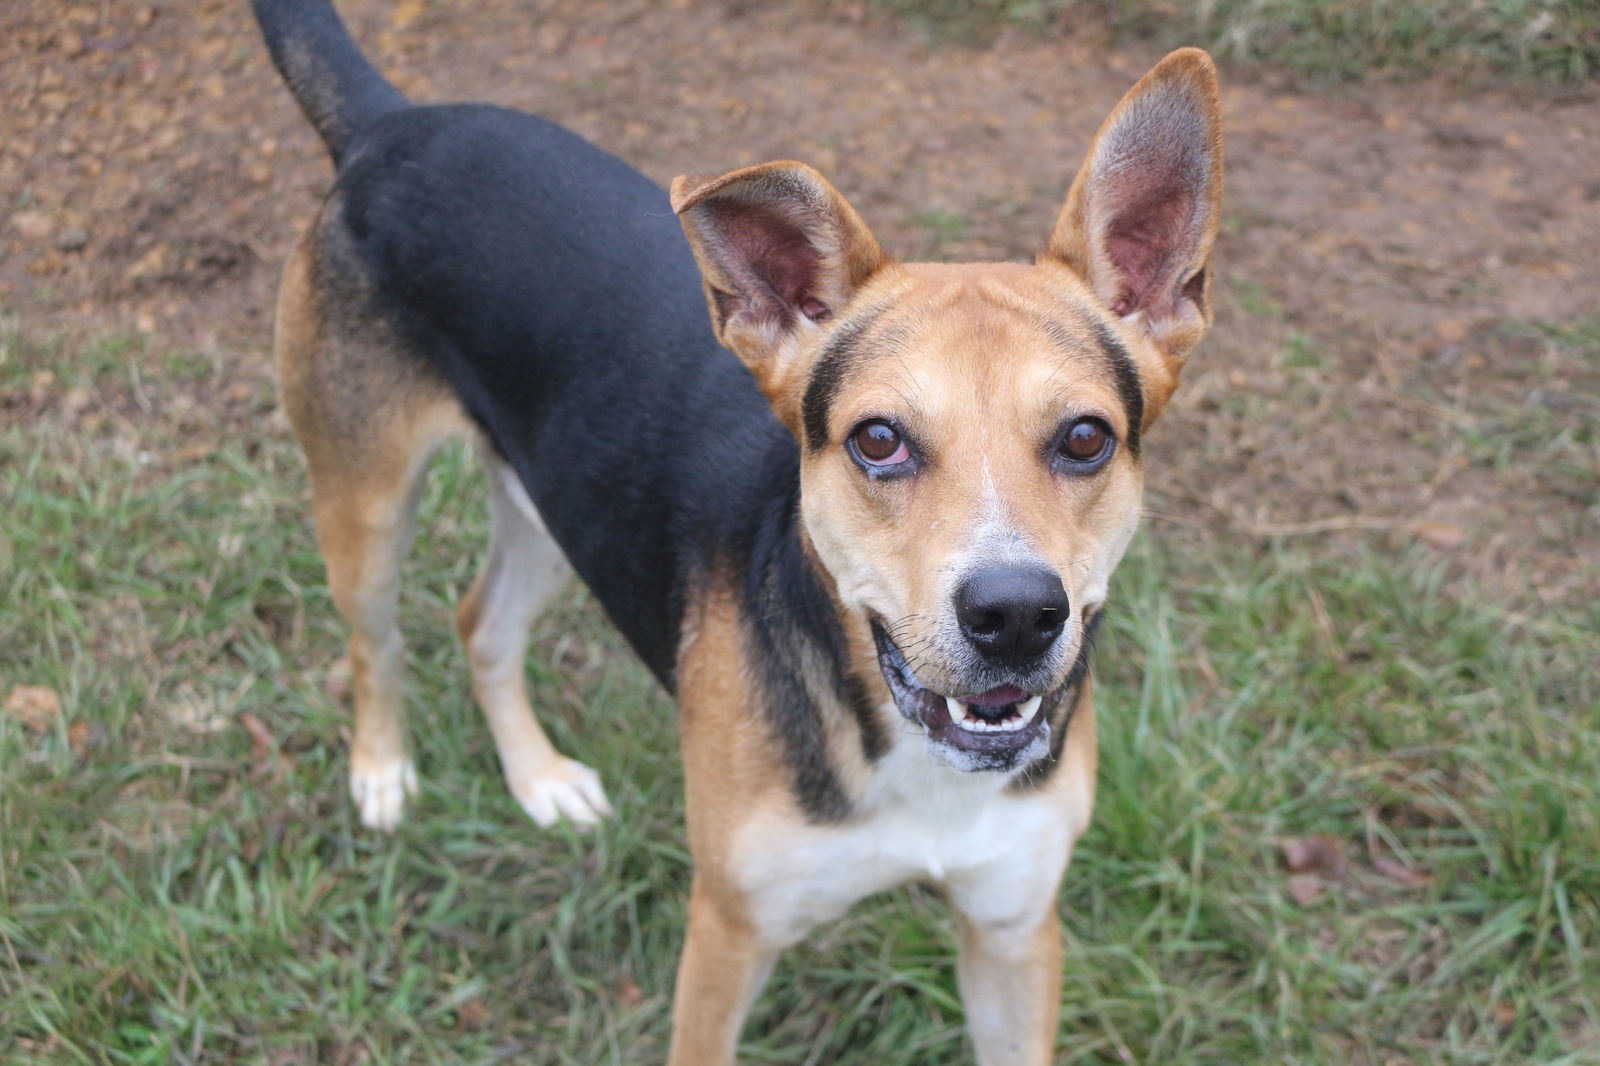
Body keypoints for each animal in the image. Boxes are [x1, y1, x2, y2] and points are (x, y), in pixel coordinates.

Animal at [249, 4, 1222, 1056]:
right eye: (878, 441)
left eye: (1086, 438)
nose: (1015, 616)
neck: (903, 750)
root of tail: (392, 122)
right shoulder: (727, 933)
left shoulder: (1014, 930)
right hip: (365, 498)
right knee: (375, 639)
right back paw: (383, 772)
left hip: (556, 505)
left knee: (482, 623)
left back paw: (538, 778)